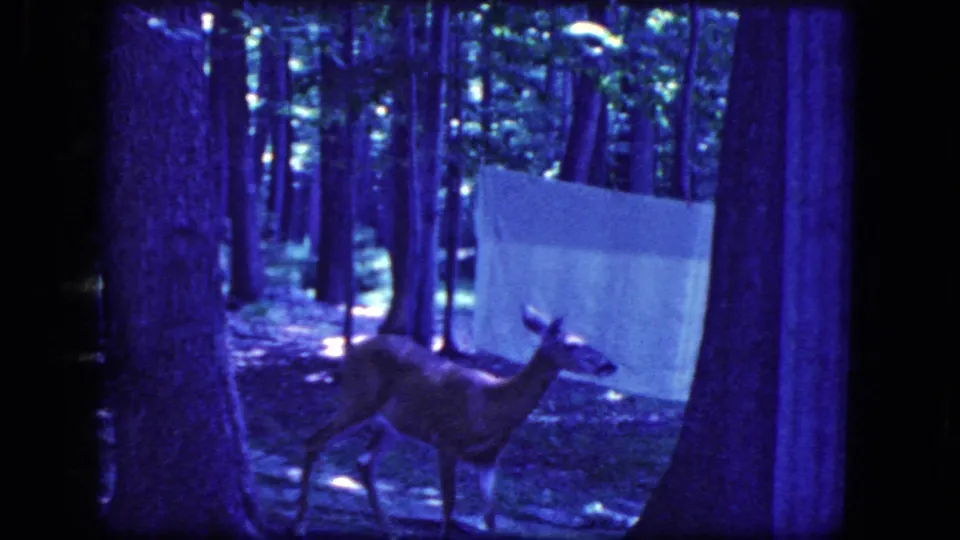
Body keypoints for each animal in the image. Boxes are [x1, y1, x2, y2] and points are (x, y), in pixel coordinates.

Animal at [292, 305, 618, 538]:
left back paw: (388, 528)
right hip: (358, 400)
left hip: (392, 425)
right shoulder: (447, 442)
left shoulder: (488, 458)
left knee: (363, 461)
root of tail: (351, 349)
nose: (608, 364)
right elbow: (449, 508)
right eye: (570, 344)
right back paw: (301, 524)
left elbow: (491, 514)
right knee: (315, 440)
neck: (495, 406)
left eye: (587, 340)